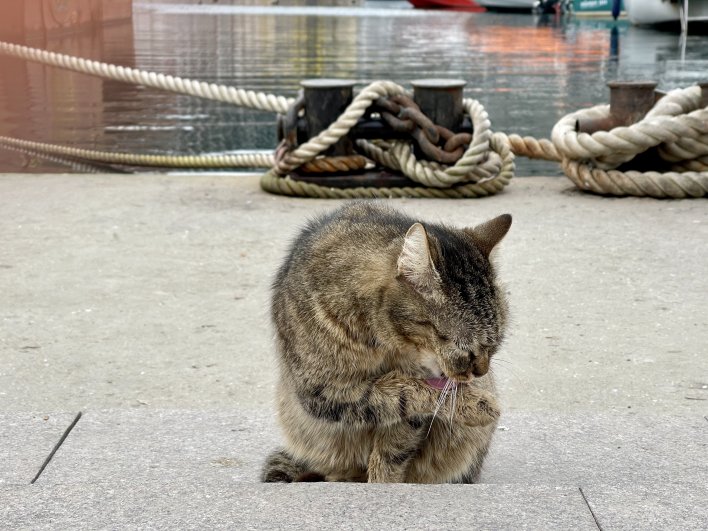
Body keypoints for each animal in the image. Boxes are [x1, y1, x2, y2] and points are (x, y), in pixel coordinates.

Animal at [260, 202, 508, 484]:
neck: (383, 342)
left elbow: (394, 449)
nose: (481, 372)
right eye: (464, 349)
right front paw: (476, 405)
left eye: (494, 344)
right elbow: (405, 390)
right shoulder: (323, 391)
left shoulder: (409, 416)